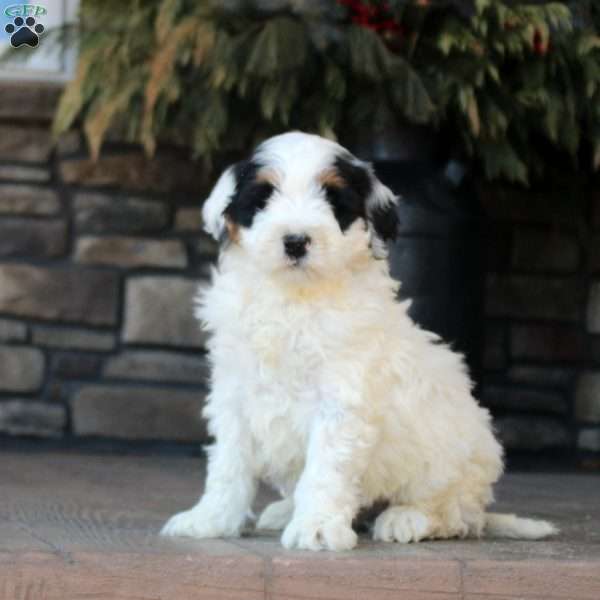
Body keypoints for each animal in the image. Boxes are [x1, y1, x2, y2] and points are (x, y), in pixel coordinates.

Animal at [161, 132, 556, 552]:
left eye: (333, 200)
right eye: (263, 197)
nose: (296, 241)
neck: (294, 297)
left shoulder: (340, 399)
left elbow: (325, 468)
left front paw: (316, 528)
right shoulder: (235, 393)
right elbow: (228, 464)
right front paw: (209, 520)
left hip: (452, 460)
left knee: (454, 513)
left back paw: (406, 519)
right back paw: (284, 512)